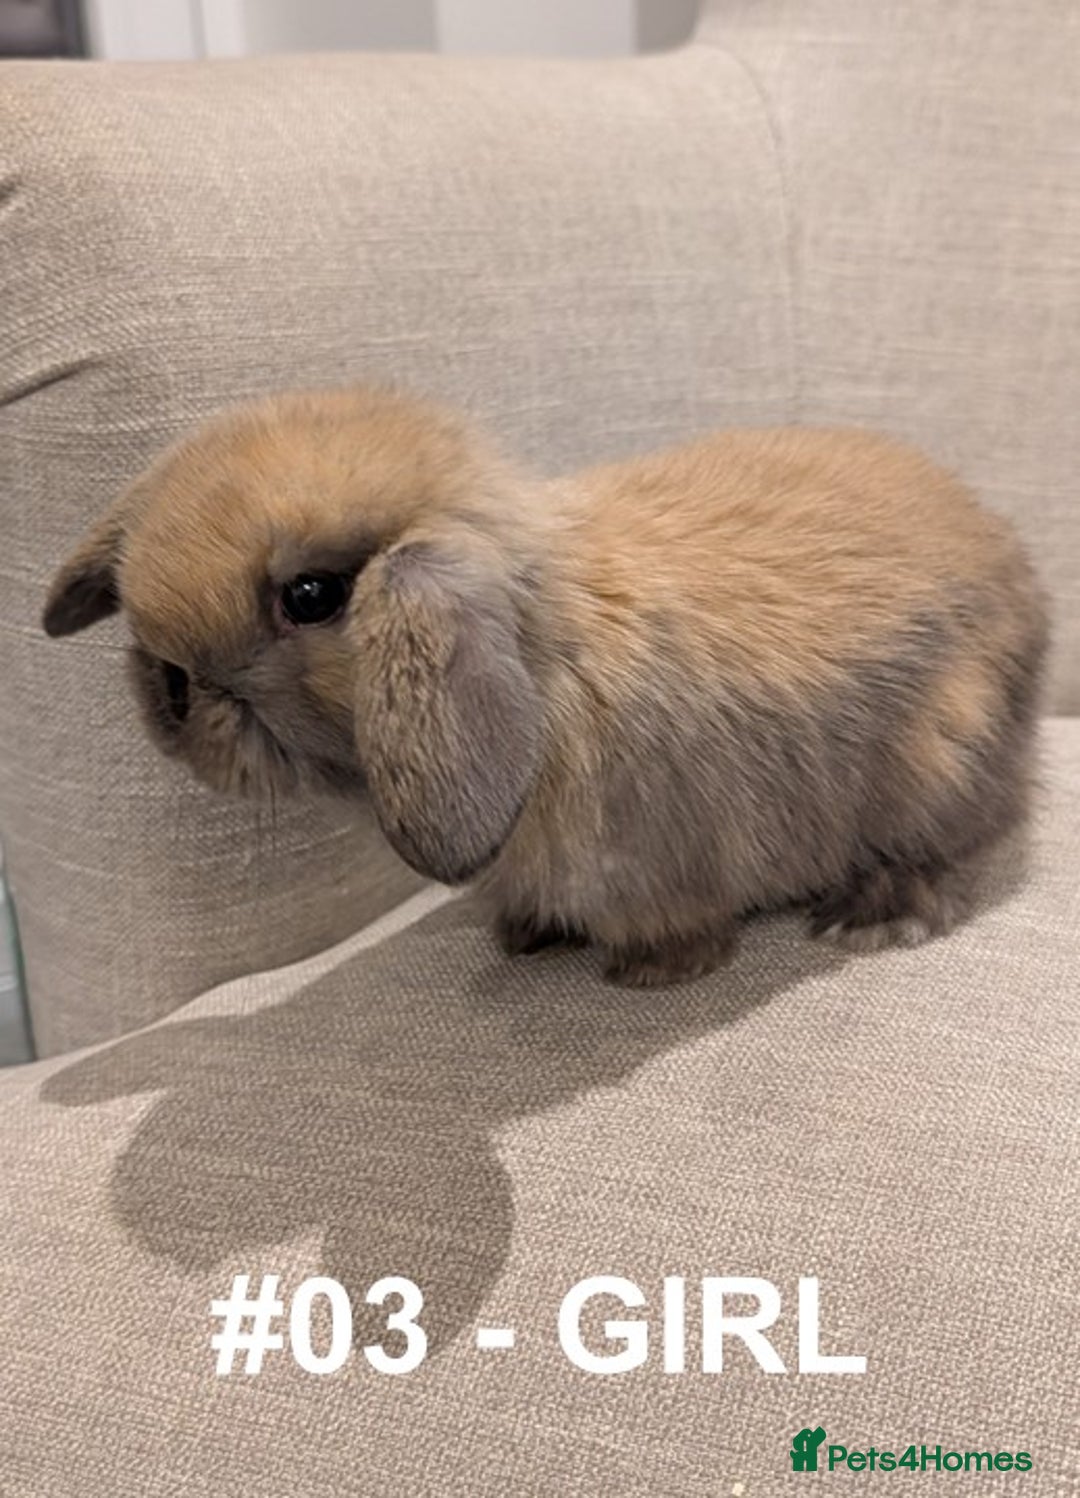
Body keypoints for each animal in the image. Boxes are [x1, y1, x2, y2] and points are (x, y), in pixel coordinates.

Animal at [43, 386, 1048, 987]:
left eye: (313, 596)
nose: (170, 685)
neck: (536, 648)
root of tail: (1014, 568)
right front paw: (524, 936)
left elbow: (682, 928)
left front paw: (649, 973)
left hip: (944, 760)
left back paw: (872, 918)